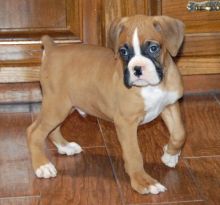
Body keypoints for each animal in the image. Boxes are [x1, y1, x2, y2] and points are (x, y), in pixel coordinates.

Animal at [27, 15, 186, 195]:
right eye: (123, 51)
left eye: (153, 48)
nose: (137, 69)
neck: (153, 86)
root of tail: (52, 48)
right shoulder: (126, 123)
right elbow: (134, 154)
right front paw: (143, 182)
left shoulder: (170, 105)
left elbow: (179, 133)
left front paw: (170, 155)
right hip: (57, 106)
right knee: (34, 132)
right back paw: (42, 166)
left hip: (66, 106)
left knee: (52, 130)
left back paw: (65, 147)